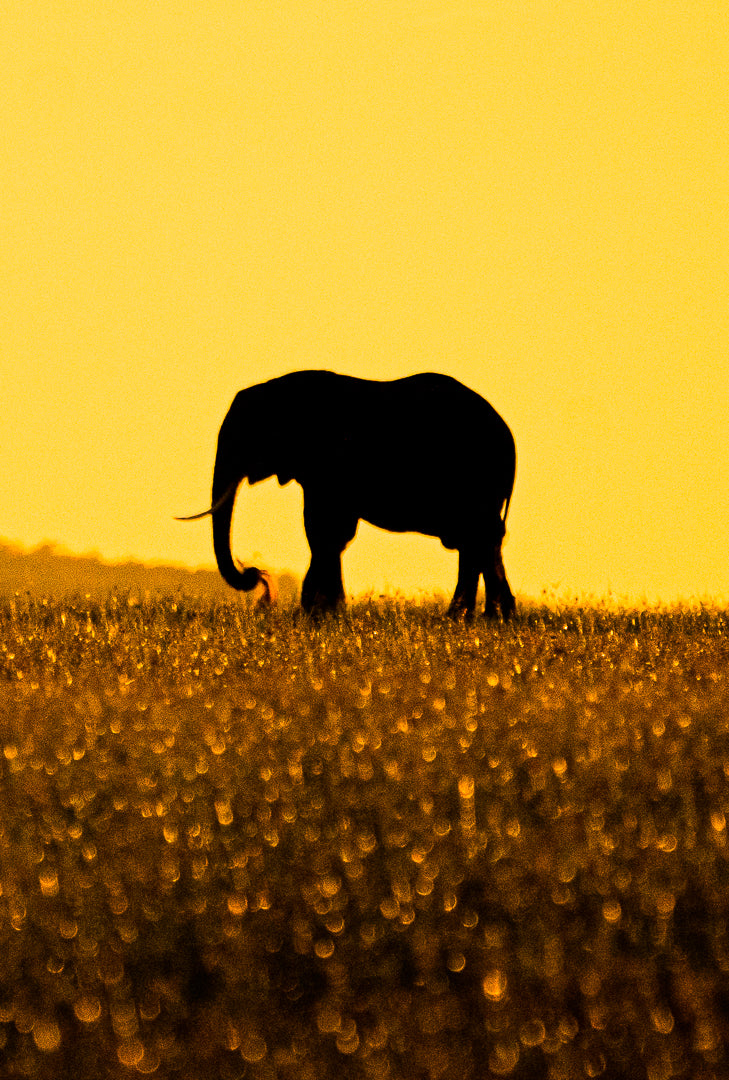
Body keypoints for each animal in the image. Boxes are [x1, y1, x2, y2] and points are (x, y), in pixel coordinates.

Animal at [179, 371, 516, 622]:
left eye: (244, 437)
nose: (257, 576)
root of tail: (509, 438)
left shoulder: (330, 463)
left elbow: (325, 530)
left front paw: (318, 613)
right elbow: (328, 533)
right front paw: (324, 612)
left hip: (476, 477)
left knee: (480, 538)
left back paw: (476, 618)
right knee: (478, 541)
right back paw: (481, 618)